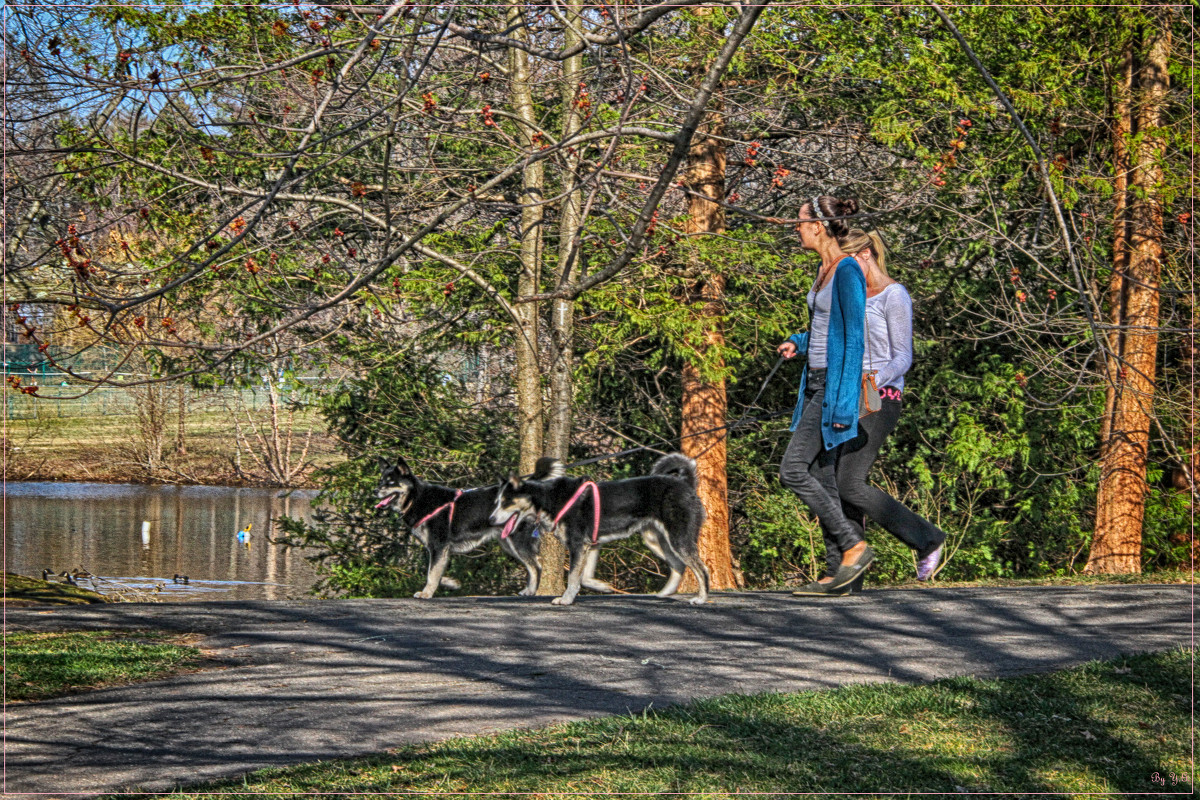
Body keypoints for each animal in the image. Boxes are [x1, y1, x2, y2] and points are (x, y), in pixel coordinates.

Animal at [374, 455, 561, 599]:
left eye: (391, 483)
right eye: (381, 480)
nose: (375, 490)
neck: (416, 498)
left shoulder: (438, 547)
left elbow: (431, 573)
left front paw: (427, 593)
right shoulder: (439, 550)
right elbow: (433, 572)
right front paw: (450, 583)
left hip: (518, 541)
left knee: (536, 565)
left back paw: (531, 591)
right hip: (508, 543)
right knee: (532, 565)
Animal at [489, 453, 705, 604]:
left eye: (506, 502)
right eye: (497, 501)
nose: (491, 519)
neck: (548, 498)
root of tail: (686, 484)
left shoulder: (577, 545)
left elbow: (573, 577)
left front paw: (566, 599)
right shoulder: (591, 545)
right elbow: (584, 578)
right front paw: (602, 586)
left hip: (678, 540)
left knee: (702, 569)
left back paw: (701, 598)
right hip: (657, 541)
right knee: (679, 566)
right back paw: (665, 593)